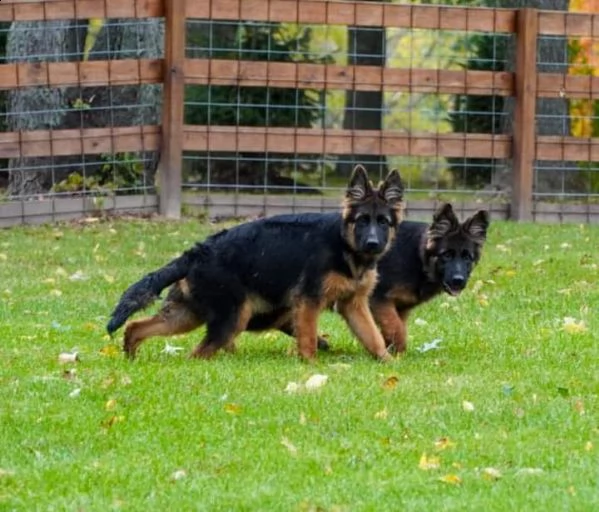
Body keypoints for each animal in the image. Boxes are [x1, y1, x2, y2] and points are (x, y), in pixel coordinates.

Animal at [108, 166, 406, 362]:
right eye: (362, 221)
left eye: (383, 222)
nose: (373, 243)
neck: (345, 246)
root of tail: (197, 252)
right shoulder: (308, 301)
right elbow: (308, 339)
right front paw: (310, 366)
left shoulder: (354, 305)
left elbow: (374, 338)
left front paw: (389, 365)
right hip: (232, 317)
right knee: (198, 353)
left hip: (188, 314)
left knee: (136, 327)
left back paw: (130, 355)